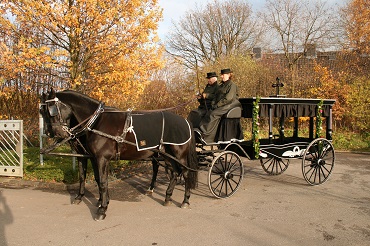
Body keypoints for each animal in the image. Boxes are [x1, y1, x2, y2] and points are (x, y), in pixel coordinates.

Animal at [39, 89, 198, 221]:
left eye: (52, 109)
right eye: (42, 111)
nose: (52, 133)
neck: (97, 122)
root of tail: (185, 121)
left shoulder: (102, 159)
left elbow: (103, 182)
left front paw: (102, 209)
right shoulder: (90, 157)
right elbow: (91, 178)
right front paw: (97, 201)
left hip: (179, 155)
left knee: (185, 173)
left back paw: (185, 201)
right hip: (167, 155)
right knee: (174, 174)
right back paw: (167, 197)